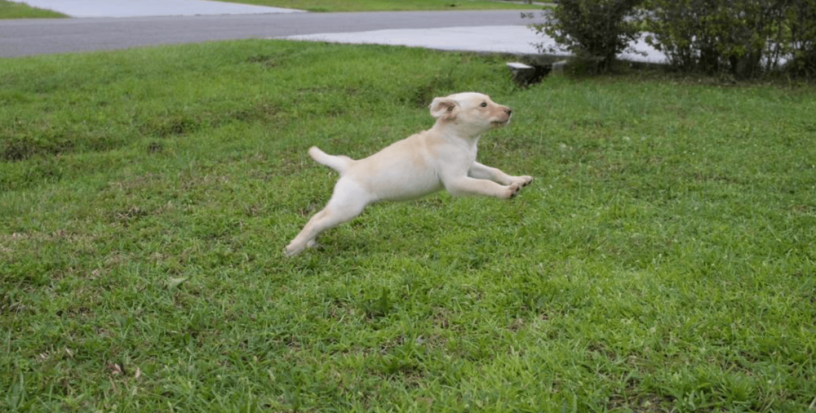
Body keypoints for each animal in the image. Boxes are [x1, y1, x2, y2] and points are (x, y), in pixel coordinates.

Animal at [284, 91, 532, 256]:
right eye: (483, 105)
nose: (509, 111)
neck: (456, 136)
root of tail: (349, 166)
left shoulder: (471, 166)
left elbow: (495, 172)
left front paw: (518, 180)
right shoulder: (456, 181)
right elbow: (486, 185)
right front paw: (507, 192)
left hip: (342, 207)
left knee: (320, 218)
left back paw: (308, 244)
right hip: (347, 207)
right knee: (315, 220)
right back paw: (293, 248)